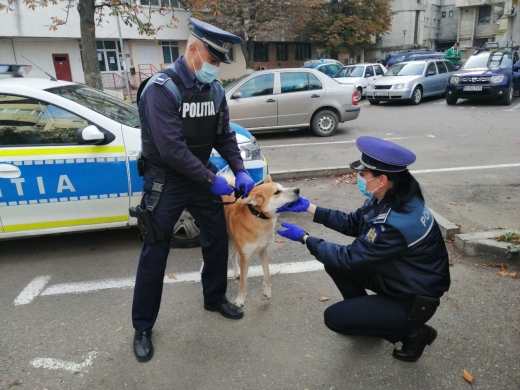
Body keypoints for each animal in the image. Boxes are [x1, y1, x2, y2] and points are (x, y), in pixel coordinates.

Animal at [221, 176, 298, 308]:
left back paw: (237, 271)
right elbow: (243, 283)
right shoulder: (245, 257)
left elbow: (267, 275)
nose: (298, 190)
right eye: (277, 192)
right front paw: (240, 299)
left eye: (282, 187)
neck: (258, 217)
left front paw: (267, 291)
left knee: (232, 255)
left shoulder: (263, 251)